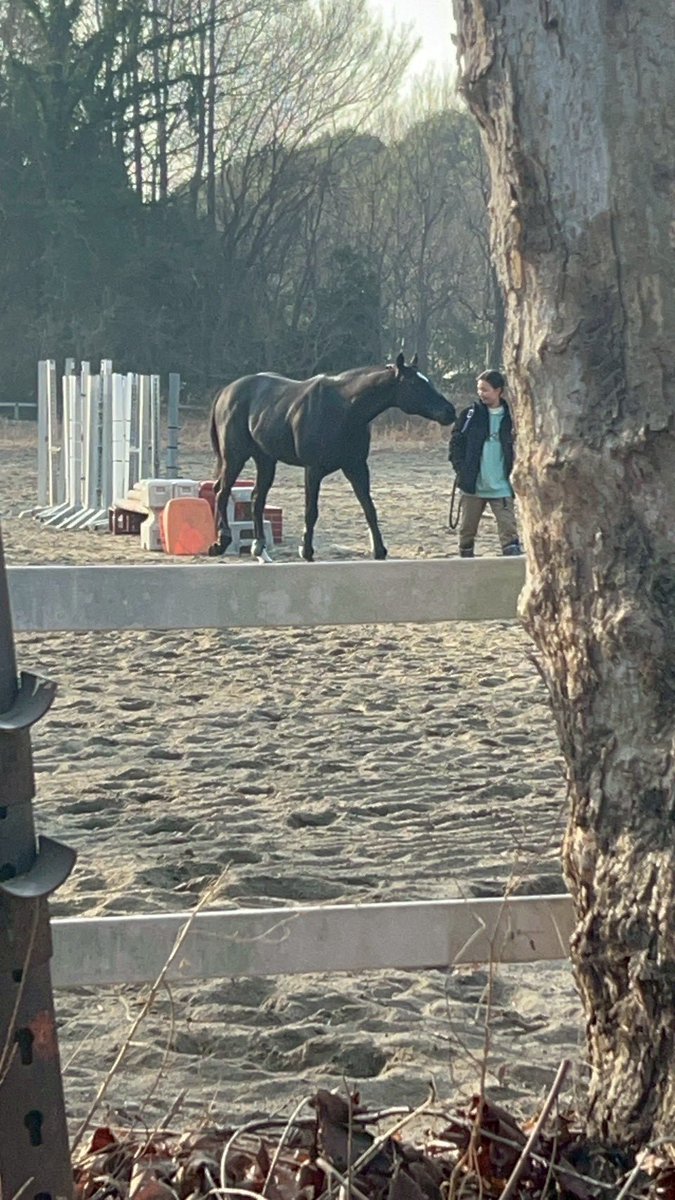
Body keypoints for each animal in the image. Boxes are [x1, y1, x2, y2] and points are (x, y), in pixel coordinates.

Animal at [208, 352, 456, 562]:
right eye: (415, 383)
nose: (450, 411)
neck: (344, 408)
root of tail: (226, 392)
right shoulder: (313, 469)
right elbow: (311, 511)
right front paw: (306, 551)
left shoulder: (356, 467)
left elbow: (369, 508)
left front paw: (379, 550)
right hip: (234, 457)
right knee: (222, 492)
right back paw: (221, 542)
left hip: (266, 460)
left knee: (257, 499)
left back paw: (259, 547)